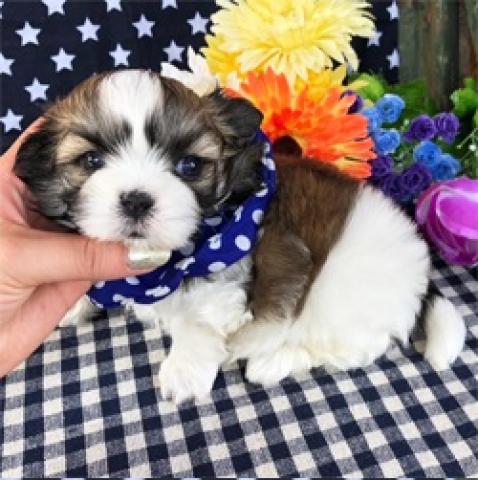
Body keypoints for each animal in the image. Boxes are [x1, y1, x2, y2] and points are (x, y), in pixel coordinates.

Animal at [14, 70, 466, 403]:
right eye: (90, 161)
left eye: (188, 166)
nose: (137, 200)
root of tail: (419, 269)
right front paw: (72, 302)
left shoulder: (226, 276)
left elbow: (196, 317)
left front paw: (184, 370)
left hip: (345, 298)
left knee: (351, 346)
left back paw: (273, 361)